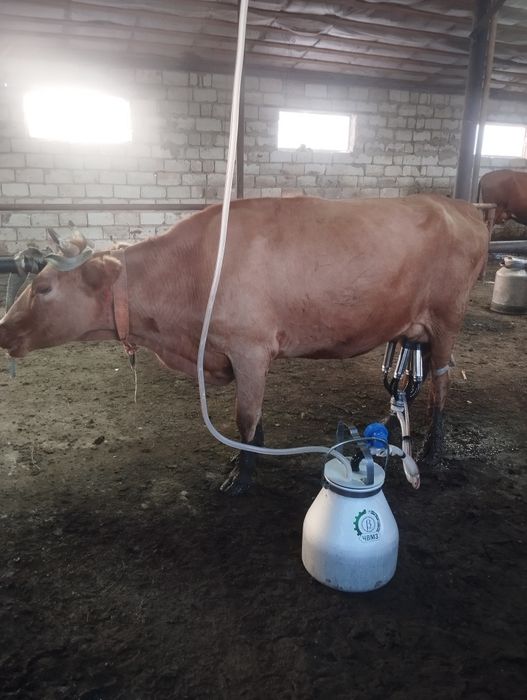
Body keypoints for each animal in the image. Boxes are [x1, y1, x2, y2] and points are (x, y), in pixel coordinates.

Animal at [0, 195, 489, 494]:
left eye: (42, 288)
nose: (3, 329)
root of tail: (455, 204)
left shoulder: (250, 348)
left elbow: (244, 417)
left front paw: (241, 473)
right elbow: (255, 415)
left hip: (448, 318)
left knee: (442, 385)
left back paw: (434, 450)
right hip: (410, 326)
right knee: (408, 385)